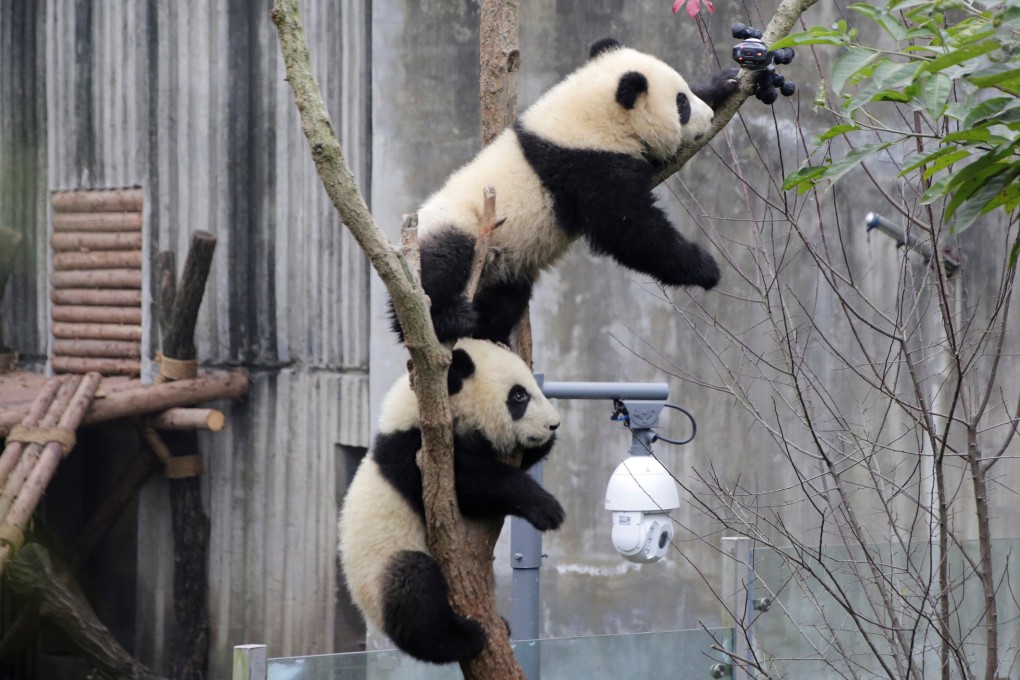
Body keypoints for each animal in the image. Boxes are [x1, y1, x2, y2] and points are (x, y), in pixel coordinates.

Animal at [338, 338, 564, 664]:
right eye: (519, 396)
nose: (553, 425)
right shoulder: (417, 455)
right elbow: (473, 486)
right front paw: (548, 509)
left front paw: (543, 446)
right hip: (380, 568)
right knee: (414, 591)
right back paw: (461, 639)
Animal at [391, 37, 739, 345]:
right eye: (681, 104)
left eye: (686, 94)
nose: (709, 117)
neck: (590, 116)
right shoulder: (585, 165)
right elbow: (630, 229)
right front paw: (704, 266)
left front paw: (726, 82)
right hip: (458, 228)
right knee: (439, 268)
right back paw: (445, 319)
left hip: (504, 269)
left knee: (504, 302)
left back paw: (484, 334)